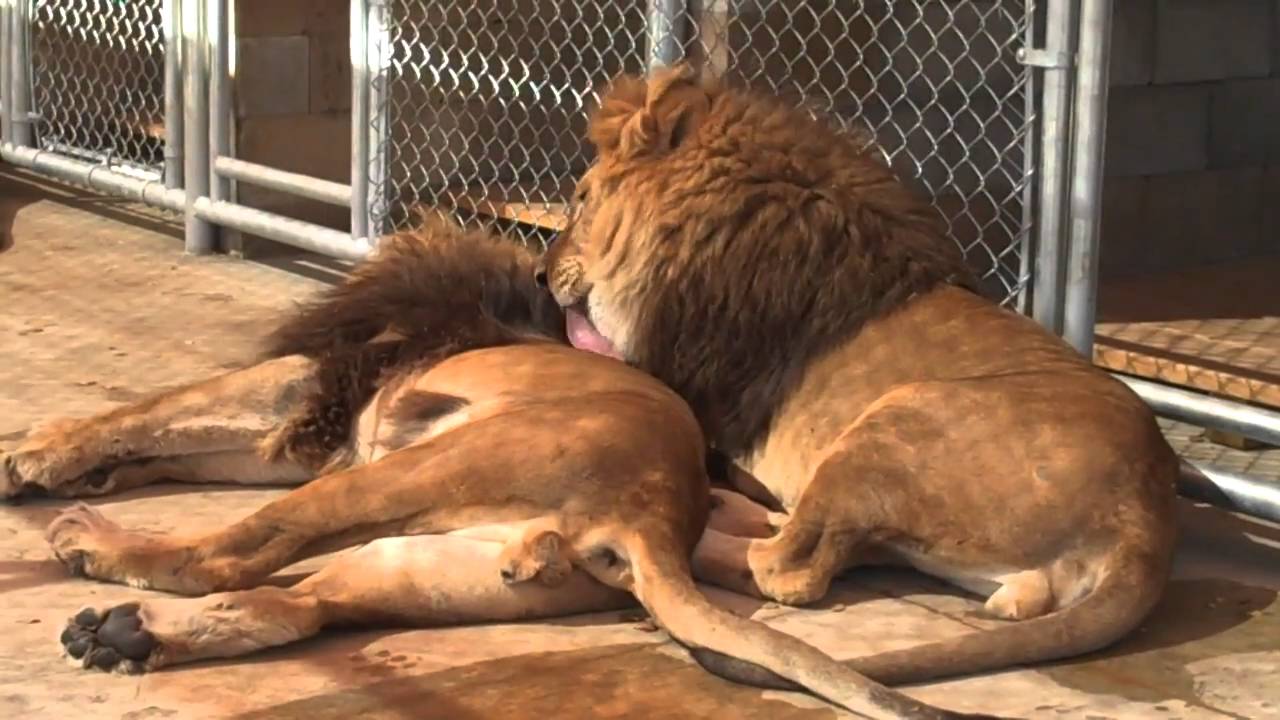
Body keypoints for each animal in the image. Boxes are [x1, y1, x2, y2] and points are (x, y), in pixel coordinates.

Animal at [3, 217, 989, 719]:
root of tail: (656, 517)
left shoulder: (309, 397)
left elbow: (155, 407)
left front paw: (35, 455)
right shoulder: (319, 423)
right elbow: (161, 428)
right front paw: (76, 468)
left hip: (400, 476)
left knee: (230, 558)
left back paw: (96, 549)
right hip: (429, 562)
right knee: (295, 605)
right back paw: (123, 636)